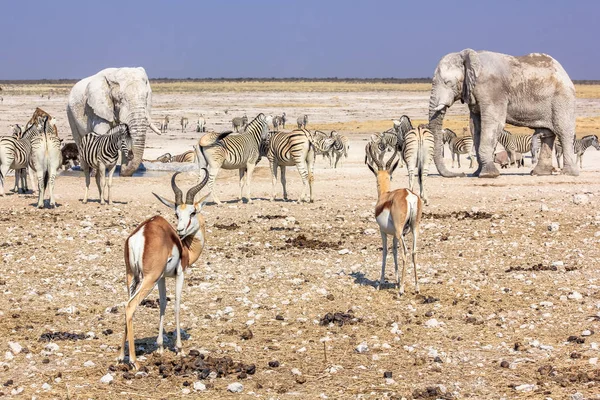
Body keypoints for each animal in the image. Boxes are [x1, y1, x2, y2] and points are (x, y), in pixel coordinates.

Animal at [118, 170, 211, 370]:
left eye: (192, 212)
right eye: (176, 213)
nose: (180, 230)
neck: (185, 247)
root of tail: (140, 234)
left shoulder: (161, 277)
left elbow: (162, 303)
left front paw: (160, 347)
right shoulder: (180, 273)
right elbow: (176, 304)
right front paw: (179, 349)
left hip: (132, 278)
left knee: (125, 303)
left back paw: (121, 356)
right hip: (148, 279)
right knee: (130, 306)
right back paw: (134, 361)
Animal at [366, 148, 422, 296]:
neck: (385, 196)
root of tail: (408, 195)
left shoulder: (383, 231)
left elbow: (386, 251)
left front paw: (381, 283)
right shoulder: (397, 235)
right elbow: (395, 251)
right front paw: (396, 282)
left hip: (399, 230)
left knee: (405, 253)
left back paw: (402, 290)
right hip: (414, 228)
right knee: (414, 252)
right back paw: (416, 287)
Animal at [426, 49, 576, 177]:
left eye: (447, 82)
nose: (461, 174)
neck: (468, 56)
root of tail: (564, 72)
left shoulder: (493, 90)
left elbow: (493, 123)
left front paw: (488, 175)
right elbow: (475, 126)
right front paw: (477, 173)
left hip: (562, 100)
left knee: (564, 132)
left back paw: (567, 173)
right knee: (546, 134)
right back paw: (539, 173)